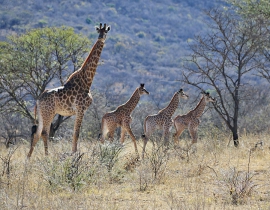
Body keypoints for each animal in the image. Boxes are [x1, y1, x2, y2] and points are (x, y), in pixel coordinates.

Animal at [28, 23, 110, 158]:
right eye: (99, 31)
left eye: (106, 31)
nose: (101, 37)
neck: (87, 80)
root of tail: (38, 100)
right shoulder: (81, 109)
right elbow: (76, 133)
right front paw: (75, 154)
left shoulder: (79, 111)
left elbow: (75, 133)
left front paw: (74, 153)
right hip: (49, 112)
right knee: (44, 132)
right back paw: (47, 156)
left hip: (42, 113)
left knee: (37, 133)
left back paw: (28, 158)